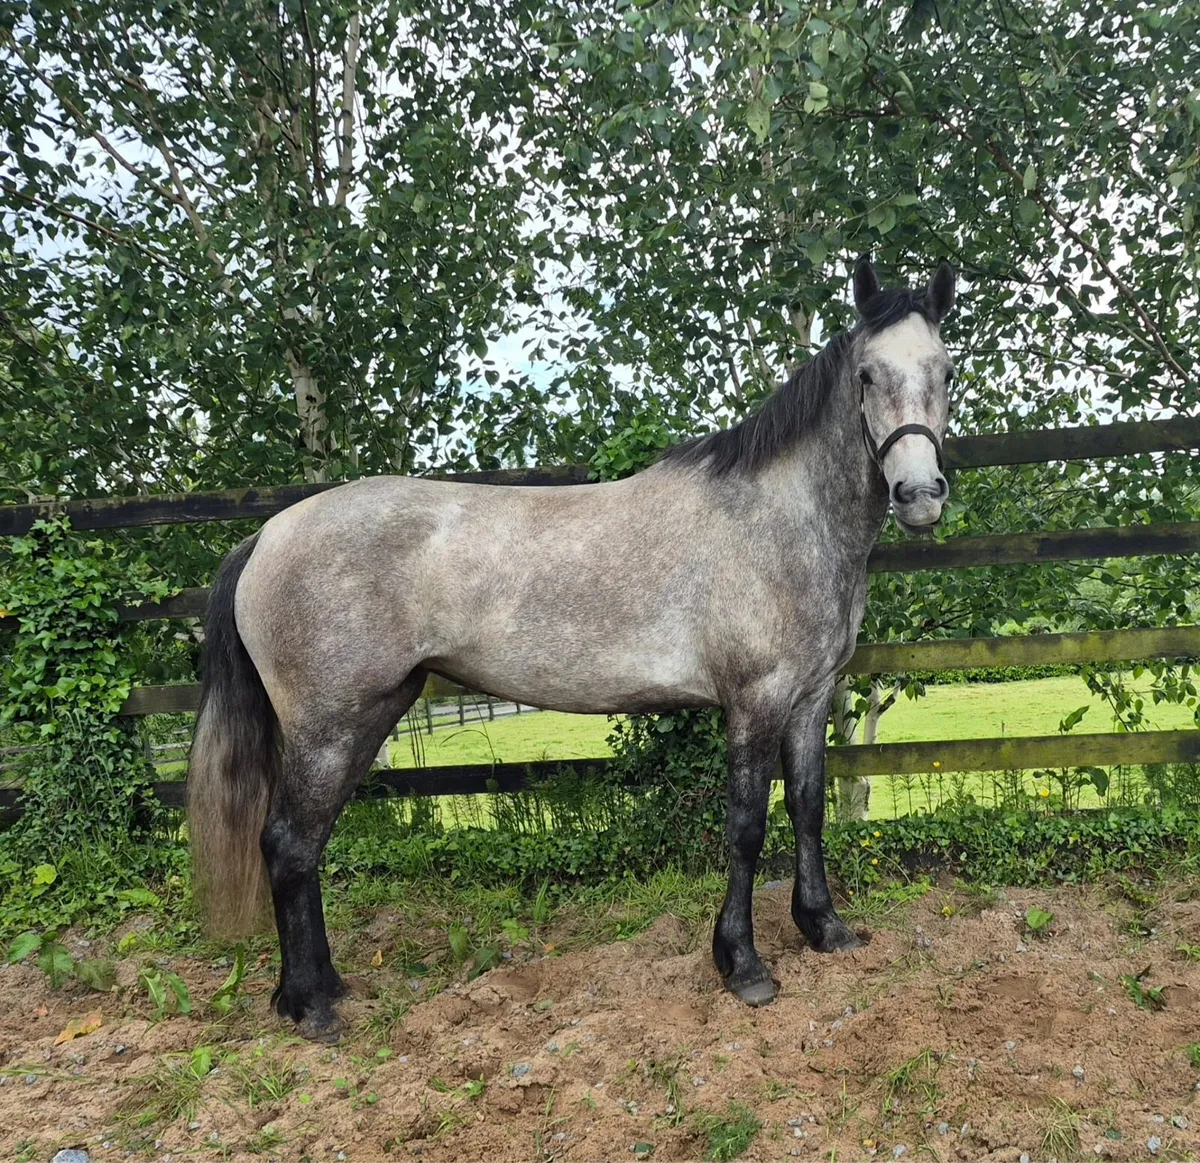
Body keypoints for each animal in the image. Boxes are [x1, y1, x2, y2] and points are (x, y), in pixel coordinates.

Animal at [188, 256, 957, 1039]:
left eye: (947, 370)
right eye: (866, 374)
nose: (919, 494)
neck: (776, 520)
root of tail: (265, 536)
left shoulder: (809, 697)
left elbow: (808, 807)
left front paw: (825, 929)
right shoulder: (755, 700)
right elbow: (746, 826)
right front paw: (743, 965)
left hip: (368, 715)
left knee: (308, 845)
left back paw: (325, 987)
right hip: (328, 727)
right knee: (288, 843)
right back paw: (309, 1005)